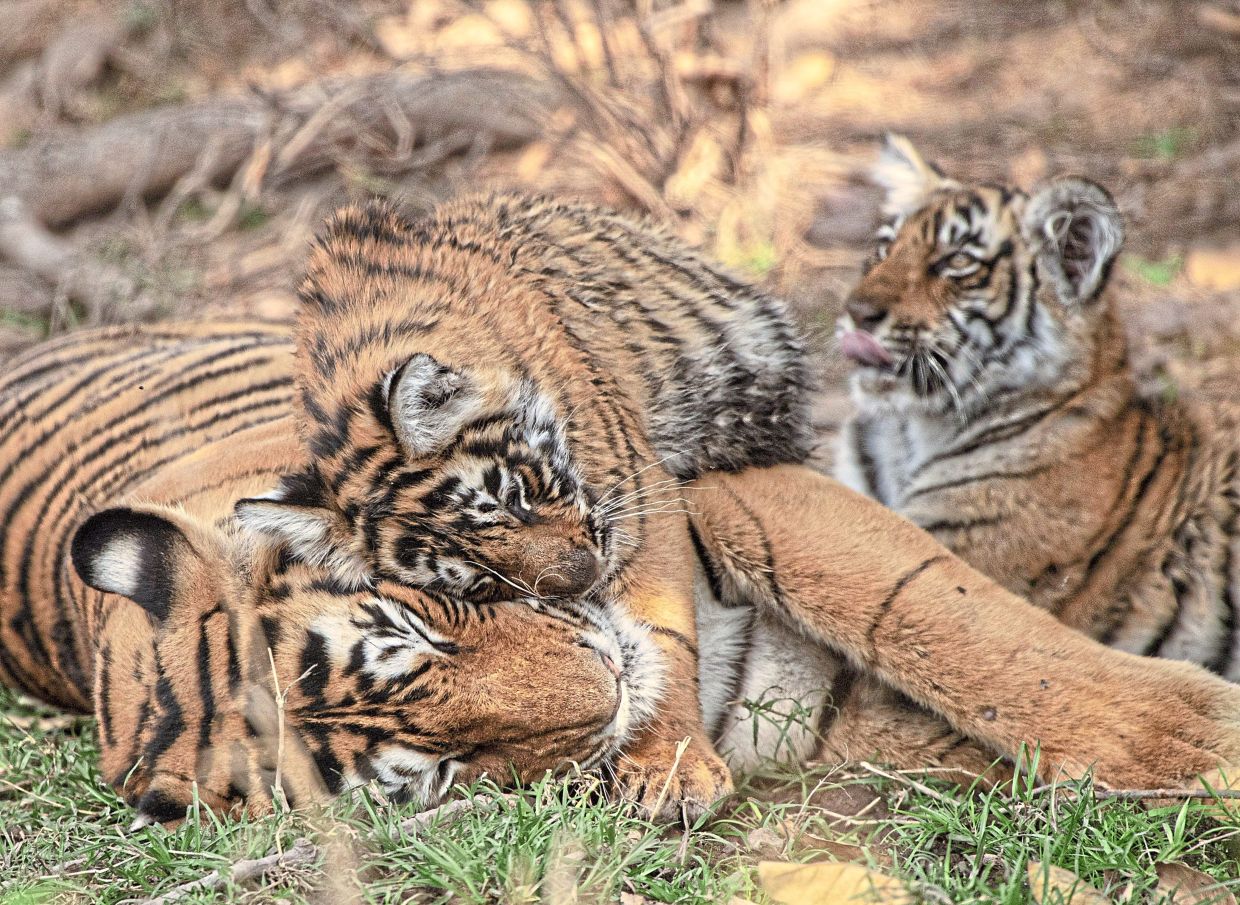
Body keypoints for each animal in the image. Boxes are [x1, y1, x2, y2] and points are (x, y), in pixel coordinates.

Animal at [7, 323, 1240, 829]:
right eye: (436, 774)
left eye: (415, 627)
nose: (604, 690)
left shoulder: (717, 490)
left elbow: (952, 623)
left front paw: (1191, 741)